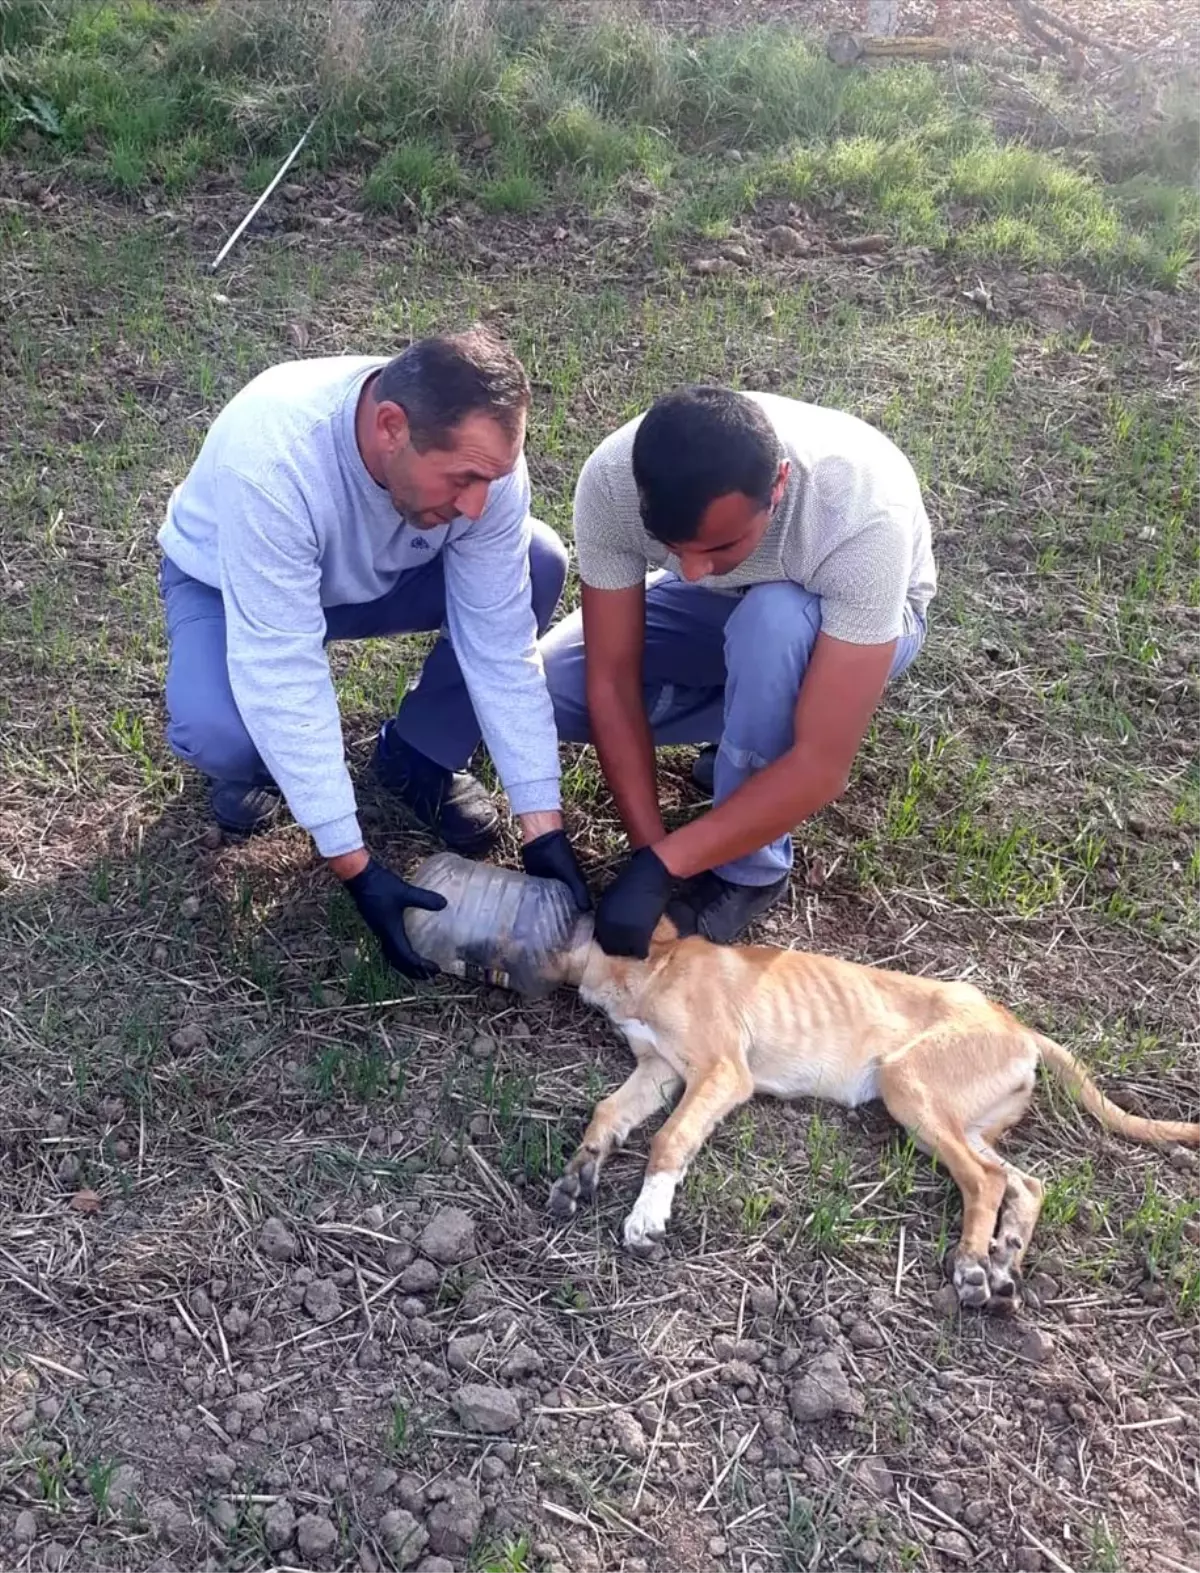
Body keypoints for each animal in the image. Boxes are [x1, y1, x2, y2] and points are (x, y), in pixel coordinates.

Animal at [547, 918, 1200, 1315]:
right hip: (961, 1119)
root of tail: (1017, 1025)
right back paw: (1004, 1258)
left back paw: (972, 1267)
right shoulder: (660, 1068)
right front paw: (580, 1171)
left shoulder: (721, 1072)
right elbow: (609, 1111)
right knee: (1023, 1181)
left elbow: (668, 1139)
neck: (649, 967)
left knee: (983, 1181)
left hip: (907, 1086)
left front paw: (647, 1216)